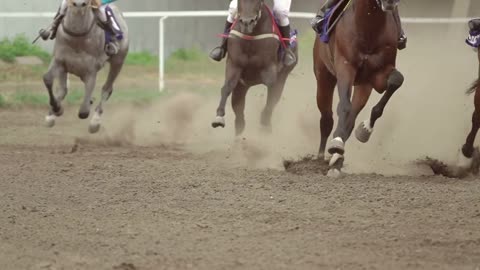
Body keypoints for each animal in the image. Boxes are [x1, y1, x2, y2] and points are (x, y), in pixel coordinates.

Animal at [210, 0, 296, 135]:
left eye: (258, 1)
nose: (246, 22)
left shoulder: (269, 69)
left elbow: (270, 93)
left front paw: (265, 122)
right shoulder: (234, 64)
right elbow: (227, 87)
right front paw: (219, 117)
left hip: (283, 77)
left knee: (274, 97)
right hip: (242, 87)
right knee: (239, 116)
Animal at [314, 0, 404, 177]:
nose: (390, 2)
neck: (368, 26)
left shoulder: (377, 74)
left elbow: (396, 80)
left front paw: (365, 129)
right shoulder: (345, 67)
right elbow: (344, 107)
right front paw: (336, 143)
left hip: (363, 87)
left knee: (351, 119)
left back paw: (337, 160)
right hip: (323, 77)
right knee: (327, 118)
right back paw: (321, 156)